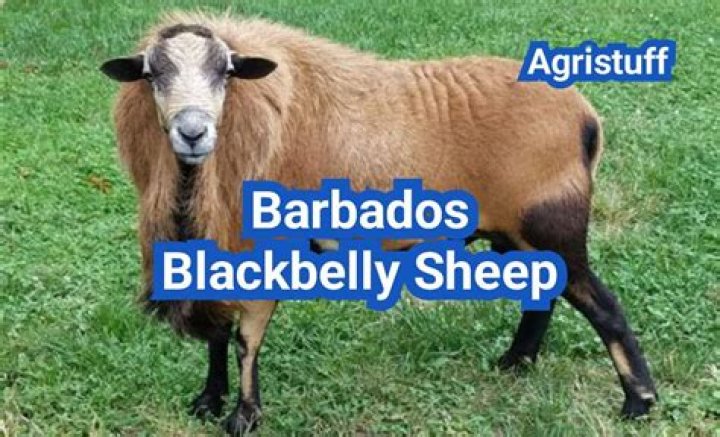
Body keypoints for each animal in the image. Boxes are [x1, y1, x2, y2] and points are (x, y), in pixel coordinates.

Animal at [100, 11, 657, 434]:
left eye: (227, 71)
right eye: (152, 74)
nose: (193, 133)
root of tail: (585, 118)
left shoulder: (260, 248)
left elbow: (244, 339)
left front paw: (244, 416)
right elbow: (217, 334)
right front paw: (207, 402)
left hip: (551, 224)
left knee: (605, 308)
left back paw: (639, 403)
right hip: (518, 235)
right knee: (542, 297)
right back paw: (515, 364)